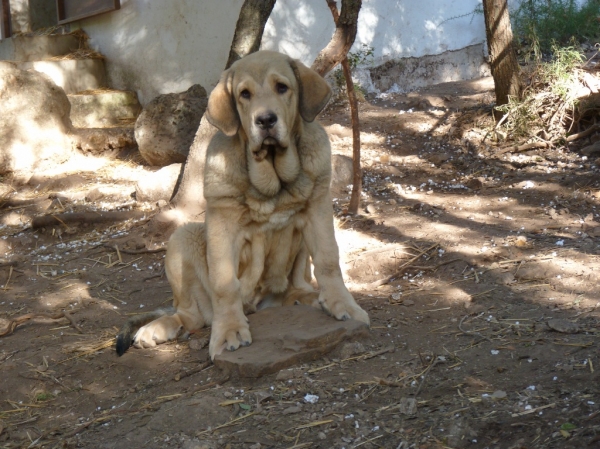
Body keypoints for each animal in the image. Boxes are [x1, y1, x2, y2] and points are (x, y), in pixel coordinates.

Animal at [116, 50, 370, 358]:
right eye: (244, 94)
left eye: (282, 87)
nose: (266, 120)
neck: (272, 175)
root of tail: (259, 305)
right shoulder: (223, 225)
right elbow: (225, 284)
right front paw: (229, 331)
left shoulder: (318, 209)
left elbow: (328, 260)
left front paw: (343, 304)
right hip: (182, 238)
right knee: (191, 316)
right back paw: (158, 328)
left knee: (296, 287)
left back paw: (308, 297)